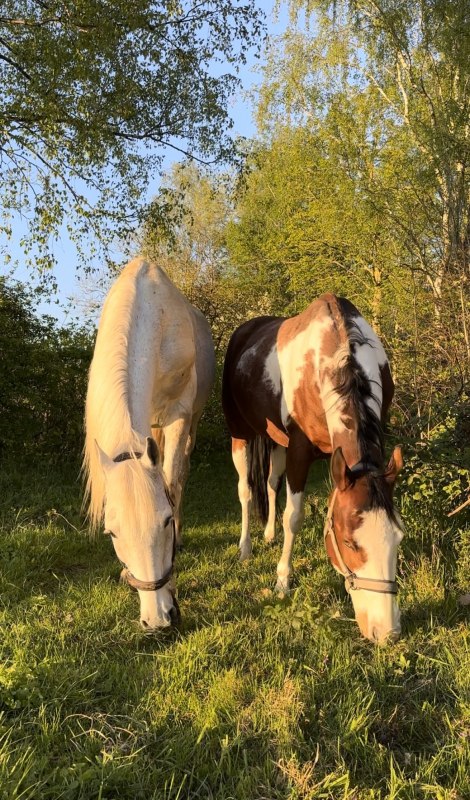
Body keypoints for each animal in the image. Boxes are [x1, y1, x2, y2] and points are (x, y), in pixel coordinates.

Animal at [83, 257, 215, 629]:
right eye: (112, 534)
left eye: (166, 521)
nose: (157, 619)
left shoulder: (179, 413)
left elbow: (172, 482)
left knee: (180, 473)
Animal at [222, 293, 404, 644]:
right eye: (348, 542)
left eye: (398, 538)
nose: (385, 632)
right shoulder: (299, 452)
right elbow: (293, 516)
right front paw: (282, 580)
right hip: (240, 434)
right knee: (245, 491)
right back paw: (246, 548)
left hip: (275, 440)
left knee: (270, 482)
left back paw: (268, 534)